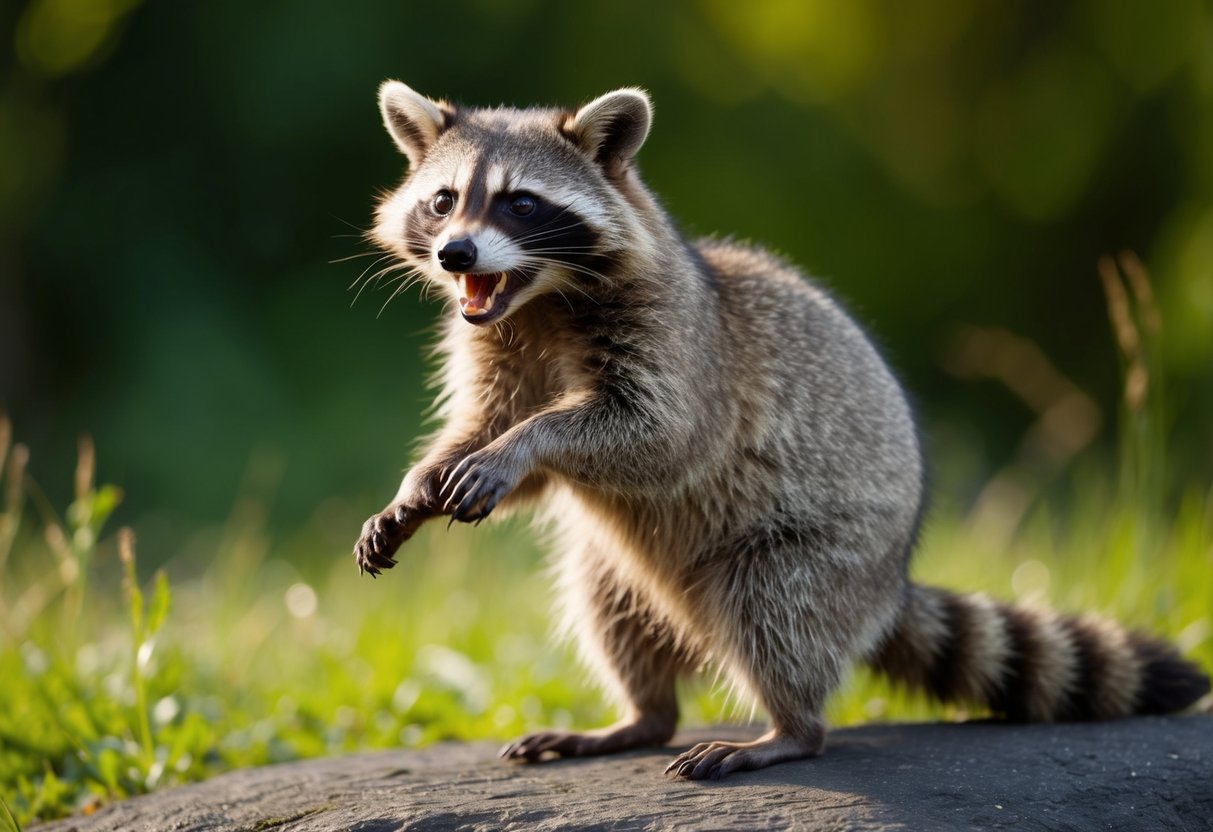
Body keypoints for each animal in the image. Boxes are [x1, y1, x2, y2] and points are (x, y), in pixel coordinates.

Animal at [353, 81, 1210, 779]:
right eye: (443, 200)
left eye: (520, 203)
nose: (455, 252)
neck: (538, 298)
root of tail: (889, 582)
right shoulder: (495, 343)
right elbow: (486, 425)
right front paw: (419, 482)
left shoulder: (677, 340)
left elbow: (656, 438)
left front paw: (522, 444)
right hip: (629, 568)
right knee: (609, 605)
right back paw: (640, 716)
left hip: (820, 550)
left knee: (773, 611)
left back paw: (790, 729)